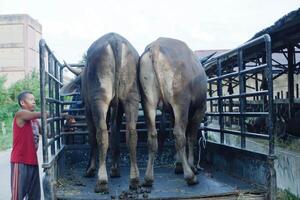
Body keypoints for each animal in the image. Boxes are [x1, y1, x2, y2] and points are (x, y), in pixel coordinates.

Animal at [61, 32, 142, 192]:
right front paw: (115, 169)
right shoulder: (118, 109)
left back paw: (101, 180)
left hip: (100, 98)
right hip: (131, 97)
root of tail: (115, 40)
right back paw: (134, 179)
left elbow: (92, 136)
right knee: (131, 133)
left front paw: (90, 169)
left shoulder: (88, 109)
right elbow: (115, 132)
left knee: (101, 134)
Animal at [138, 37, 206, 186]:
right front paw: (190, 165)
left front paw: (178, 164)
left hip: (148, 101)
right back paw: (190, 176)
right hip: (180, 101)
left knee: (152, 135)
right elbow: (191, 137)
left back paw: (148, 177)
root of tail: (155, 46)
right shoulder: (200, 108)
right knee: (179, 134)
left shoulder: (171, 112)